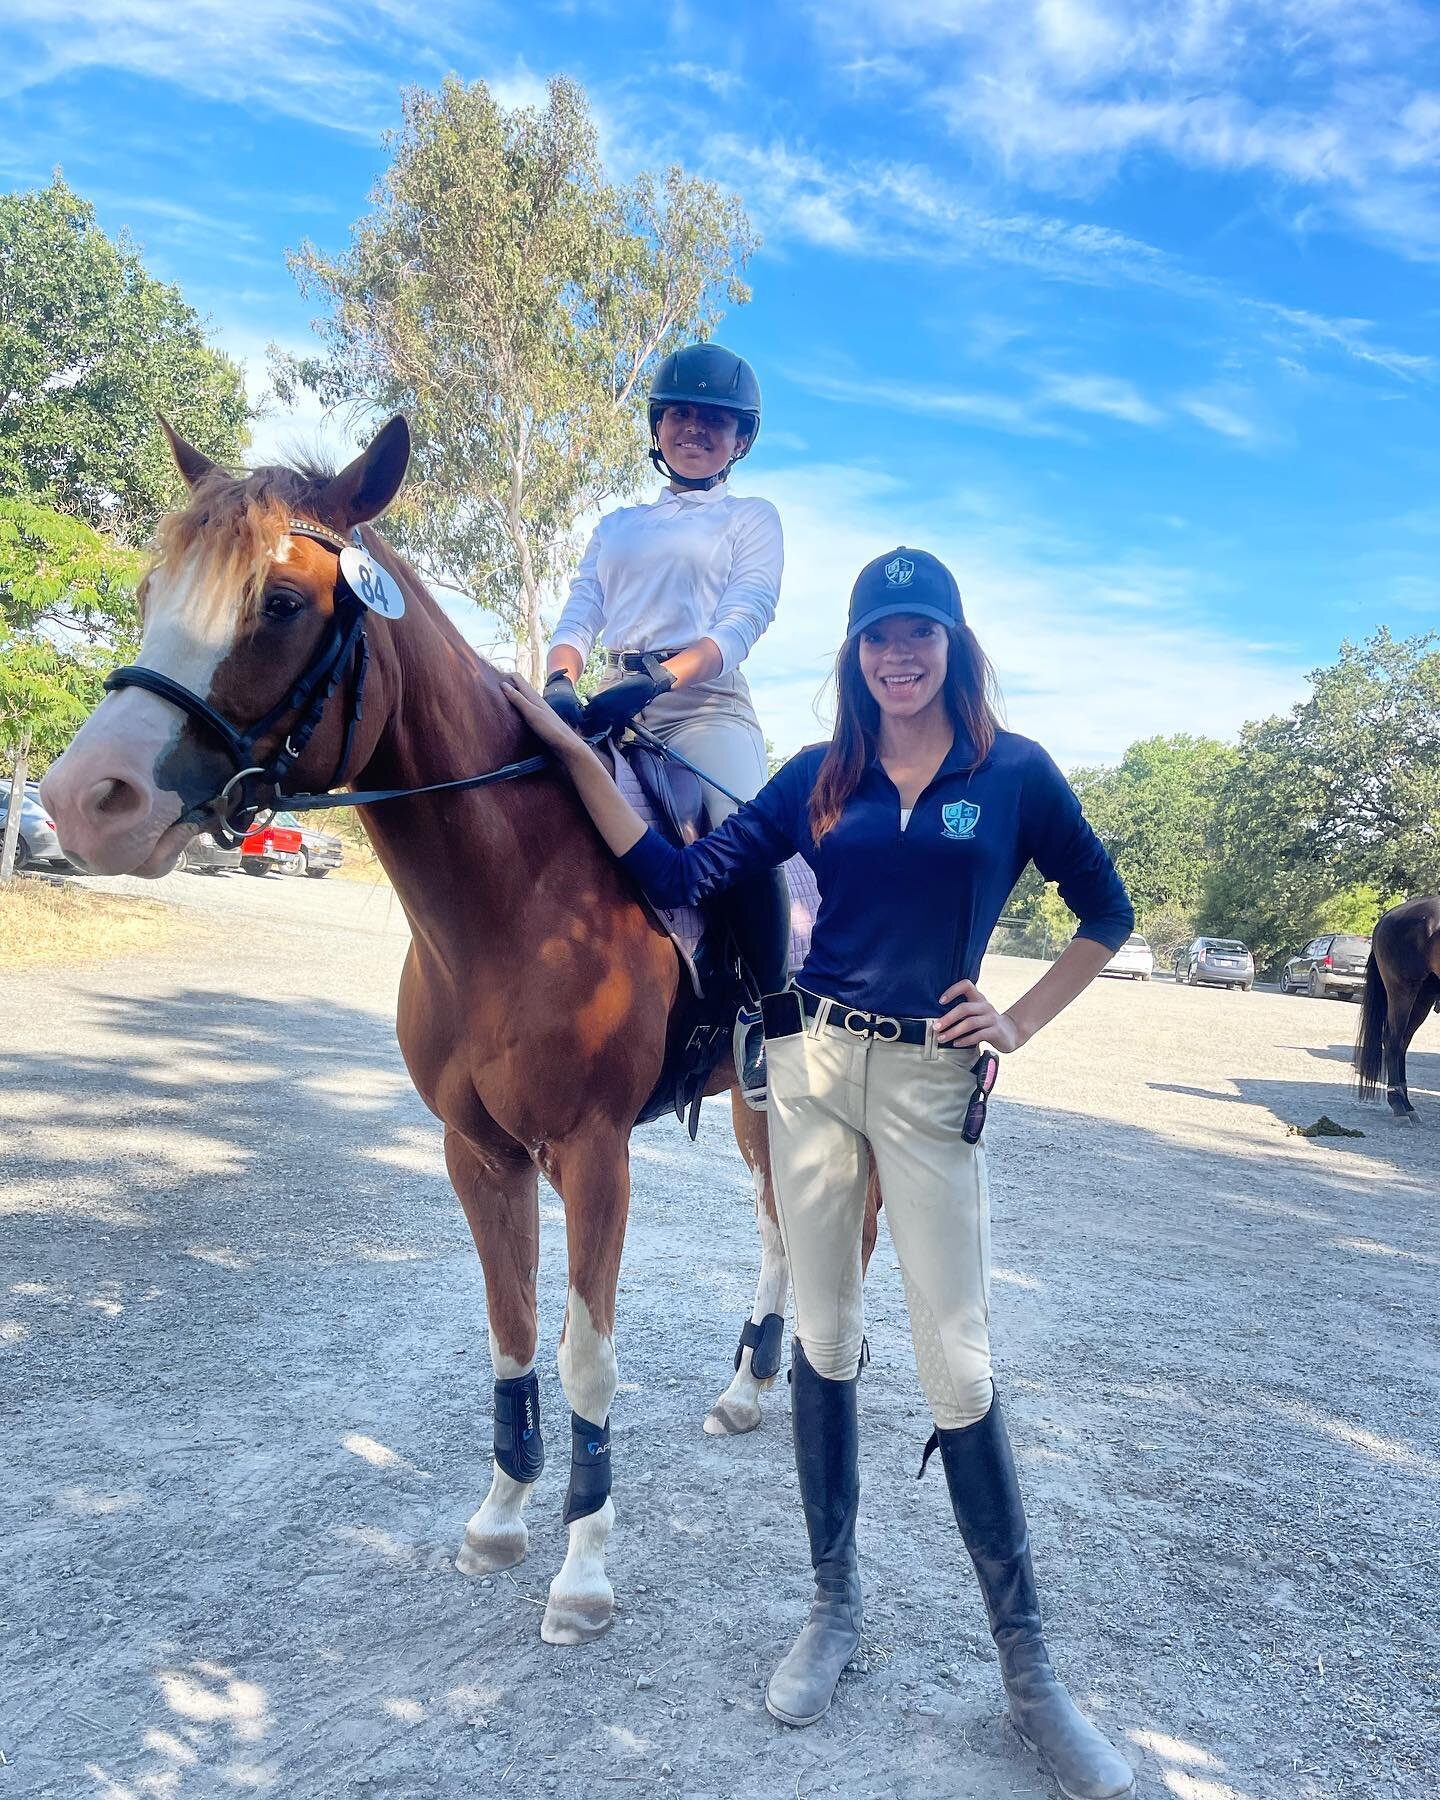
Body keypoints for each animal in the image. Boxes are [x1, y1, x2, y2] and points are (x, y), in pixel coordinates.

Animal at [42, 412, 856, 1648]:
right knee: (775, 1229)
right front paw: (502, 1521)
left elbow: (585, 1358)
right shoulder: (480, 1153)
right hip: (752, 1099)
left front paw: (582, 1576)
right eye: (147, 589)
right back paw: (748, 1386)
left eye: (281, 602)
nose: (84, 798)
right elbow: (512, 1335)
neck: (516, 896)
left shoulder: (595, 1155)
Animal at [1353, 892, 1432, 1116]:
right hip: (1402, 990)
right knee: (1393, 1040)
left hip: (1423, 997)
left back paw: (1406, 1102)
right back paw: (1398, 1102)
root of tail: (1386, 918)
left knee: (1403, 1041)